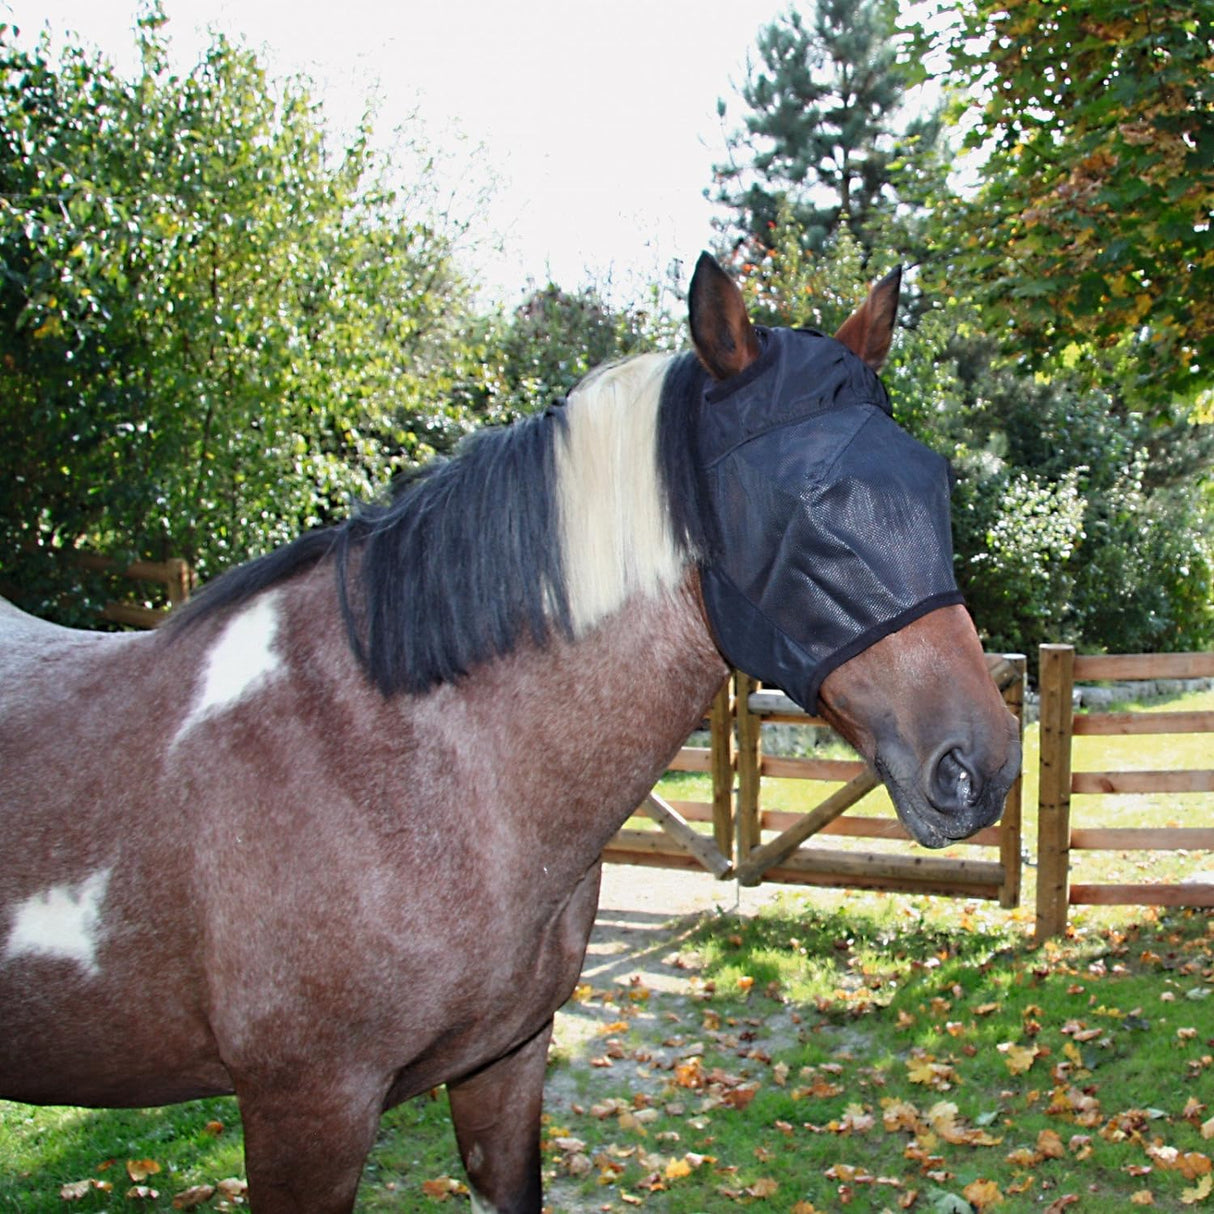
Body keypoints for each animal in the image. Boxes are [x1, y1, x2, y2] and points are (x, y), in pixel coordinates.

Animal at [2, 251, 1024, 1209]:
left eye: (933, 480)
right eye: (807, 497)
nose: (981, 764)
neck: (409, 766)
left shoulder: (508, 1061)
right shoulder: (307, 1107)